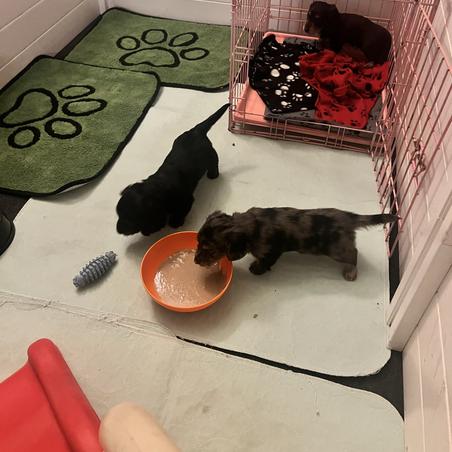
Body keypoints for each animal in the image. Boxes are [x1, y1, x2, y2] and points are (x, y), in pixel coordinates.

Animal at [116, 103, 229, 236]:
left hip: (210, 153)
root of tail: (195, 130)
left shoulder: (186, 200)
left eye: (130, 219)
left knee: (213, 162)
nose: (119, 230)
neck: (155, 189)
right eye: (118, 215)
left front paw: (175, 223)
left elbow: (179, 212)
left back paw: (213, 175)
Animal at [195, 207, 397, 280]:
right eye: (197, 243)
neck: (251, 224)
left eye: (209, 249)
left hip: (337, 249)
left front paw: (256, 269)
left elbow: (264, 262)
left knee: (353, 254)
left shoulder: (271, 251)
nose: (195, 261)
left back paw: (350, 272)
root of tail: (348, 217)